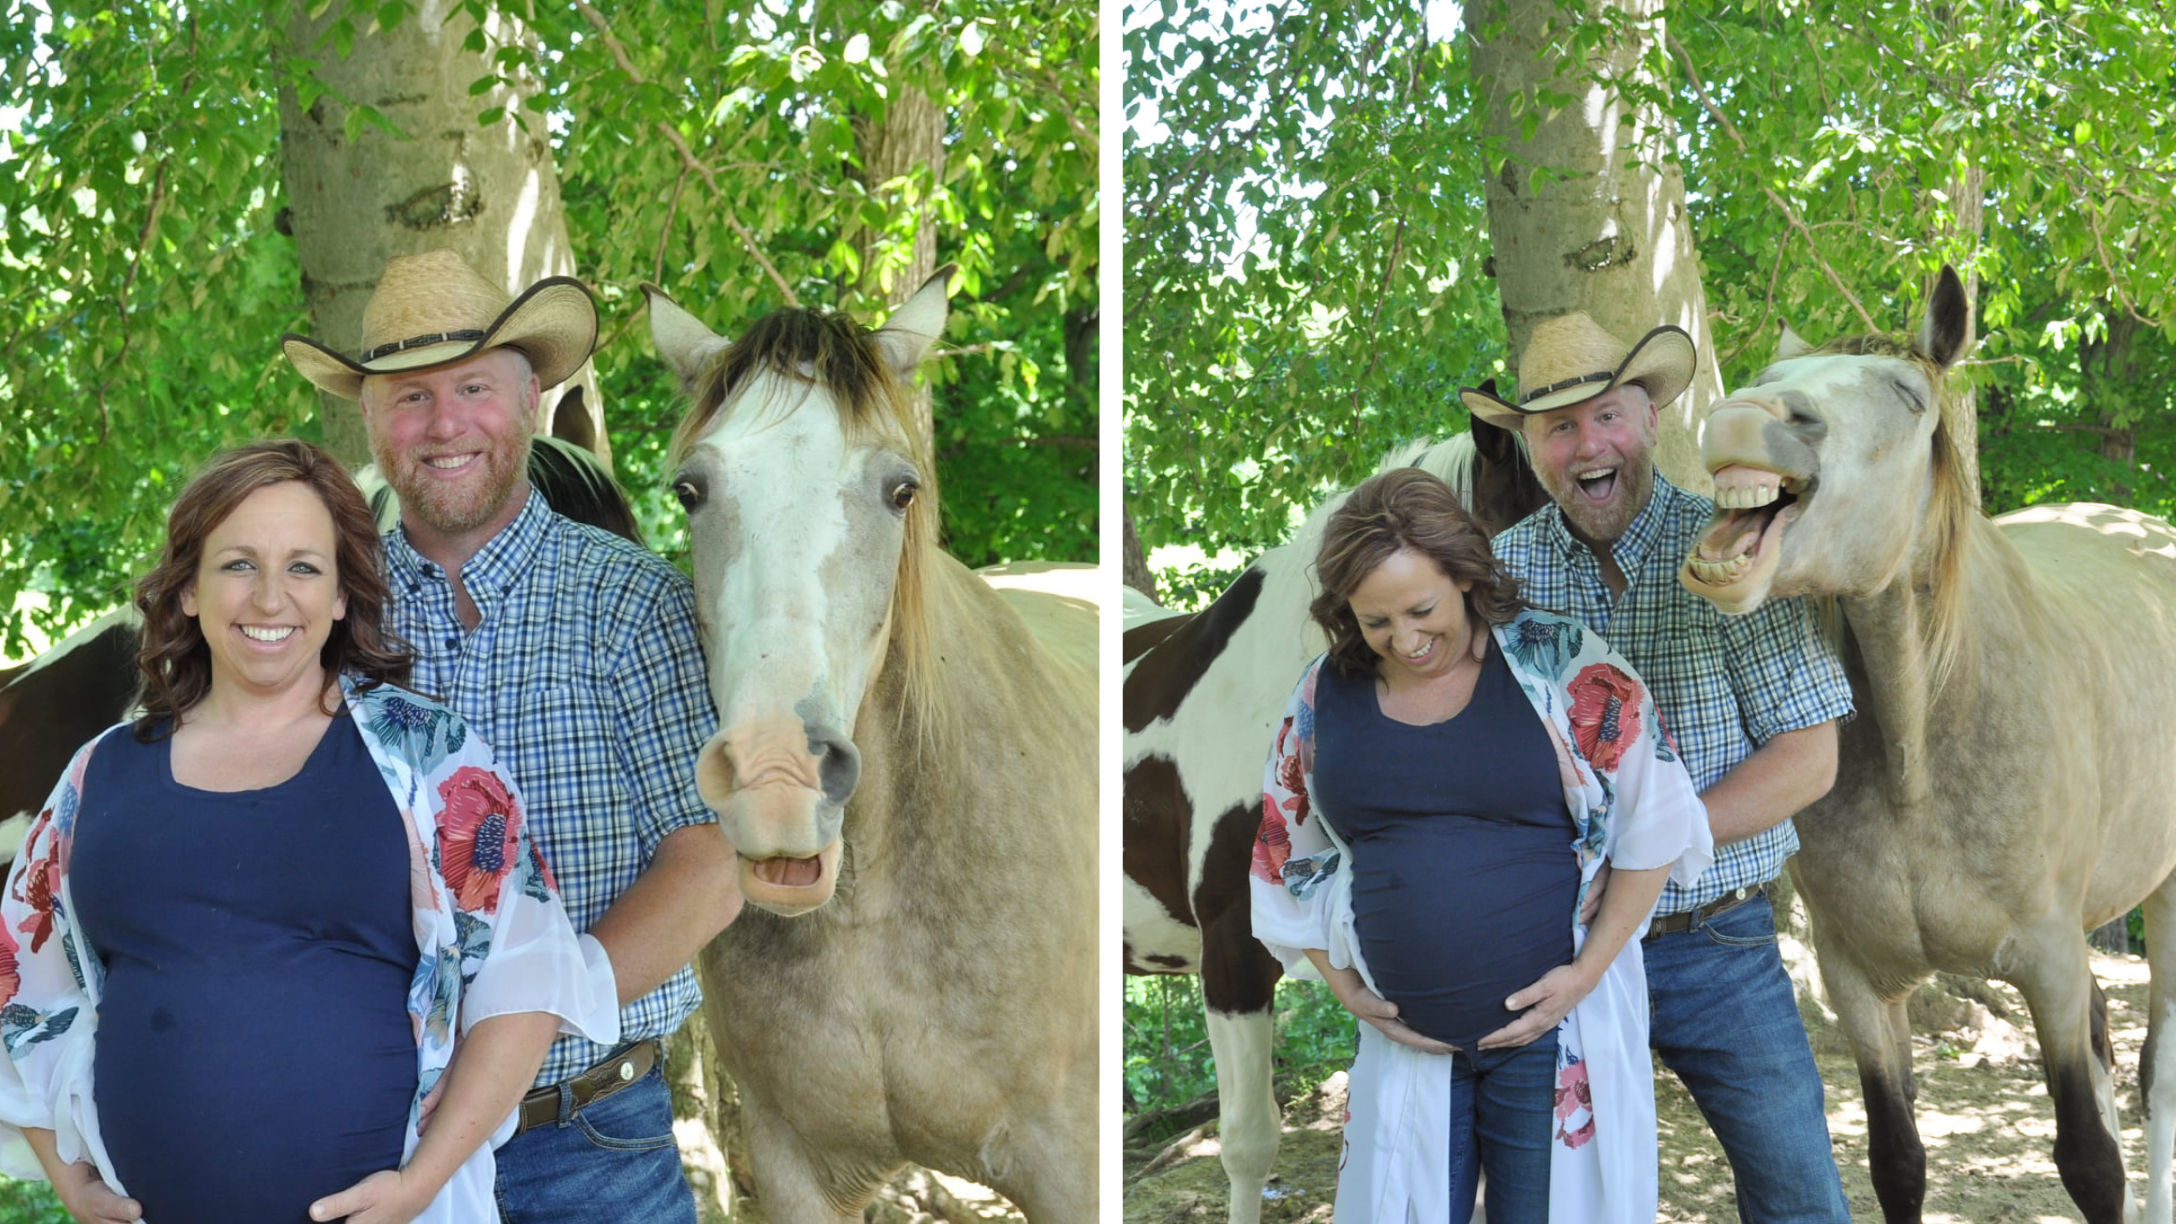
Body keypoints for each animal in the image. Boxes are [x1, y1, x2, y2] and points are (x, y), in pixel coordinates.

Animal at [1679, 262, 2176, 1210]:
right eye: (1765, 374)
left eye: (1908, 396)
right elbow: (1898, 1160)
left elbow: (2090, 1162)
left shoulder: (2050, 963)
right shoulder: (1857, 982)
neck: (1924, 746)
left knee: (2158, 1076)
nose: (1742, 418)